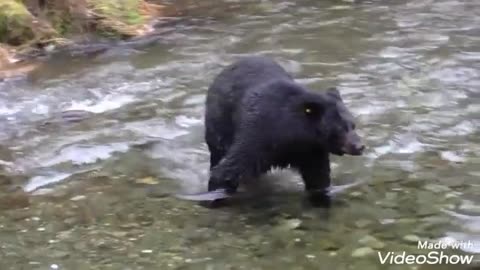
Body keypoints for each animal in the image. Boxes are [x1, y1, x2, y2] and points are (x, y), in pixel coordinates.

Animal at [187, 56, 364, 206]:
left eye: (353, 125)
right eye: (340, 128)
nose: (360, 146)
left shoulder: (312, 152)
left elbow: (318, 179)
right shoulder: (259, 134)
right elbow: (229, 169)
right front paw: (214, 196)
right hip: (220, 125)